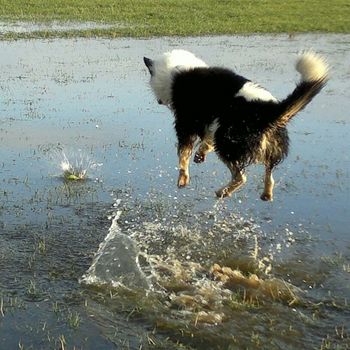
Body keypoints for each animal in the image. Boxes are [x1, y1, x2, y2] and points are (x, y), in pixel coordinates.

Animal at [144, 50, 328, 201]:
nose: (159, 101)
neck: (174, 69)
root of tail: (270, 111)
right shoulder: (212, 122)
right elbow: (205, 142)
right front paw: (200, 154)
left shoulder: (186, 123)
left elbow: (183, 155)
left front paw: (183, 179)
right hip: (263, 144)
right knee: (269, 175)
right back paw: (266, 194)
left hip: (228, 142)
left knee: (241, 177)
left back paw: (222, 192)